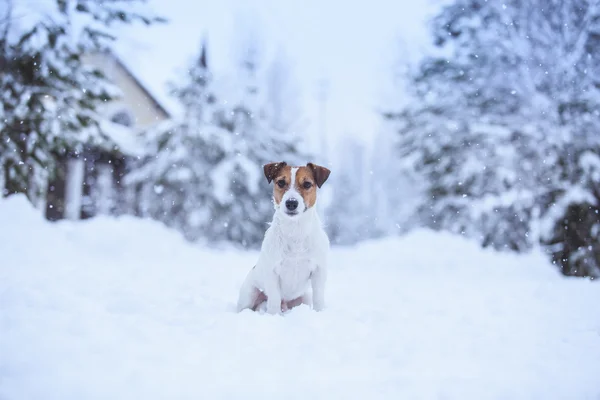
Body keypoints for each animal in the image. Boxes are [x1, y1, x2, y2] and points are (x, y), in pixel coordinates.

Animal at [237, 161, 332, 314]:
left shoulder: (319, 270)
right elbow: (274, 299)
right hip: (249, 293)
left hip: (304, 298)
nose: (291, 203)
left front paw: (319, 313)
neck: (295, 232)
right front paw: (273, 316)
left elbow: (318, 297)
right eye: (281, 182)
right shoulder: (272, 272)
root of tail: (286, 303)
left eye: (307, 184)